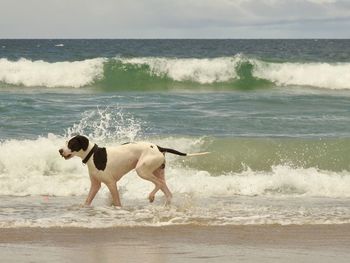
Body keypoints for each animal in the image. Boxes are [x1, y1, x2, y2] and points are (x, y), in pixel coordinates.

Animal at [58, 136, 209, 208]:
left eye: (71, 144)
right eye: (66, 143)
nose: (60, 150)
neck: (93, 154)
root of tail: (159, 147)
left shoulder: (111, 183)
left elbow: (117, 202)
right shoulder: (95, 185)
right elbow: (87, 200)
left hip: (142, 170)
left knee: (159, 184)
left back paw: (151, 196)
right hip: (157, 171)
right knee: (167, 191)